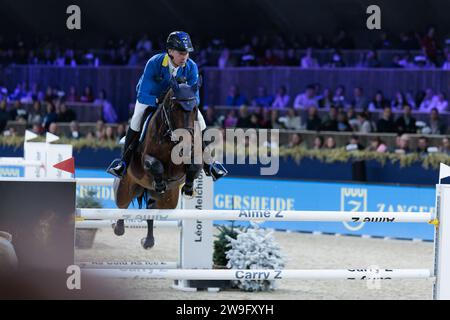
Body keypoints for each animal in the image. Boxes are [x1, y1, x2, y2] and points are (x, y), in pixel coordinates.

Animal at [111, 78, 203, 250]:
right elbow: (155, 165)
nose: (187, 144)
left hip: (168, 201)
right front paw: (159, 183)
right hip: (126, 186)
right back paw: (117, 227)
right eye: (174, 108)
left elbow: (194, 166)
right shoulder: (145, 159)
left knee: (151, 210)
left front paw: (188, 188)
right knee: (123, 204)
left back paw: (147, 241)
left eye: (195, 108)